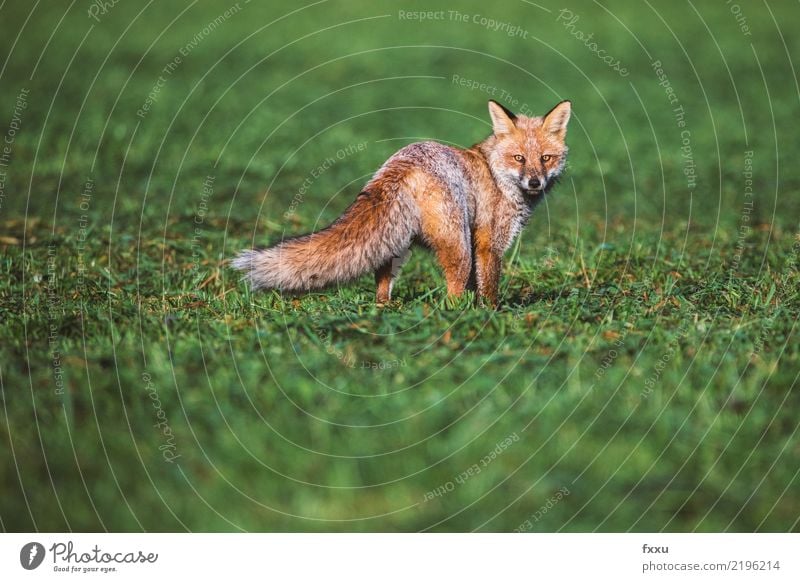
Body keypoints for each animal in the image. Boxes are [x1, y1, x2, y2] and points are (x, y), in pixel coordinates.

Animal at [234, 101, 572, 308]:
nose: (534, 182)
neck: (495, 173)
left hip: (397, 244)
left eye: (546, 158)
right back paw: (456, 317)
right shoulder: (489, 244)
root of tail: (402, 162)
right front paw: (489, 314)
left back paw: (384, 308)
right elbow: (488, 288)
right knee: (453, 291)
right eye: (519, 158)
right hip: (458, 247)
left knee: (381, 280)